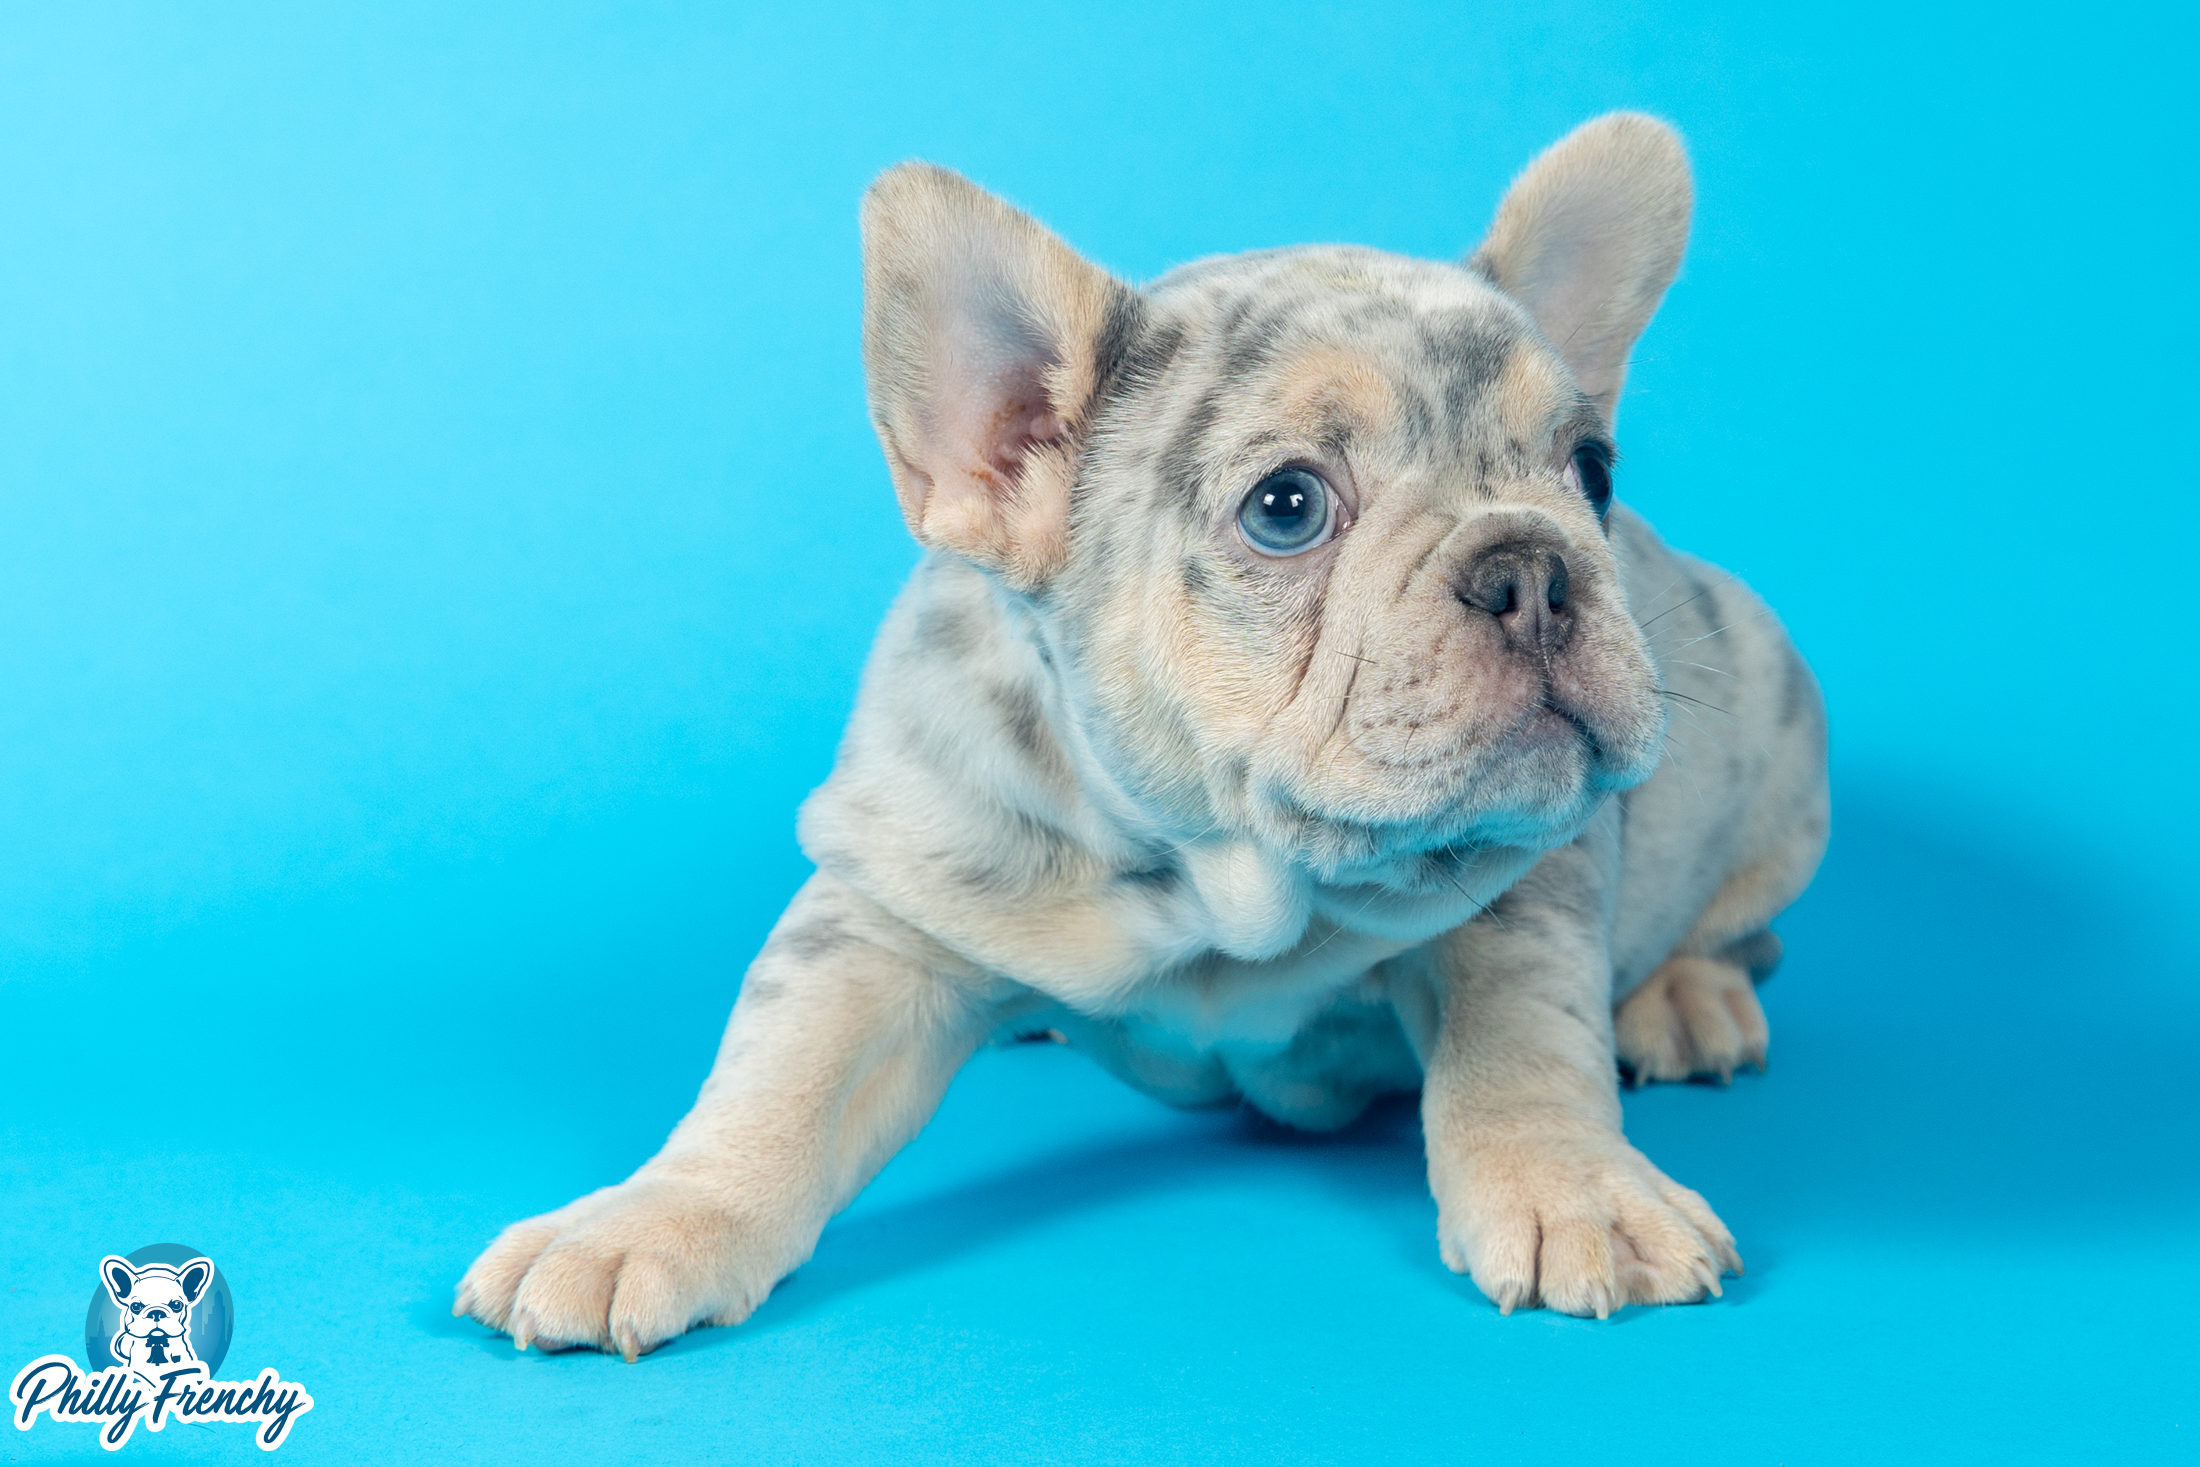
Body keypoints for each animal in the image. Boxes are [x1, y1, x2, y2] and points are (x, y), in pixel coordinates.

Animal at [459, 114, 1821, 1363]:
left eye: (1592, 471)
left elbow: (1527, 1039)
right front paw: (648, 1218)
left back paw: (1686, 999)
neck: (1222, 882)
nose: (1532, 567)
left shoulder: (1528, 878)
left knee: (1737, 929)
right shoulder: (883, 903)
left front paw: (1577, 1185)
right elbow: (777, 1071)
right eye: (1287, 506)